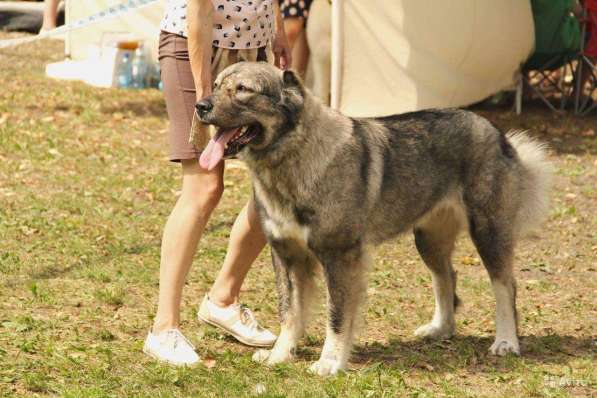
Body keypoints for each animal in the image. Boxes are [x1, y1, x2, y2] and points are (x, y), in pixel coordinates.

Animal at [194, 60, 548, 374]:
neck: (295, 156)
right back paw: (440, 328)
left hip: (488, 232)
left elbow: (336, 317)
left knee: (505, 286)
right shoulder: (287, 256)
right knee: (446, 277)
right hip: (428, 240)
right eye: (216, 85)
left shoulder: (340, 257)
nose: (200, 105)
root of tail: (497, 132)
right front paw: (280, 356)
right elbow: (289, 313)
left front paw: (329, 362)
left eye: (243, 89)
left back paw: (506, 342)